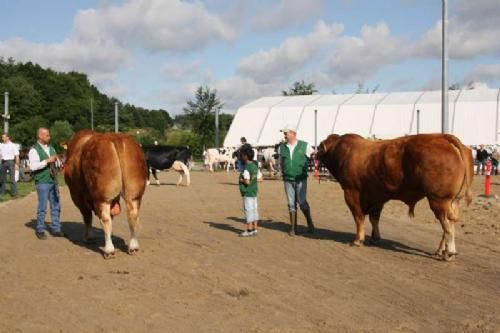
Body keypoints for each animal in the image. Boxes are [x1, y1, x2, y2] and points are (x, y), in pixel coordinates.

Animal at [318, 132, 474, 260]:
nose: (316, 154)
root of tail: (444, 137)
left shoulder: (351, 192)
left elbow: (359, 218)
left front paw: (358, 240)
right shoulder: (377, 197)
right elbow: (374, 218)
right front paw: (375, 238)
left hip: (439, 200)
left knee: (447, 224)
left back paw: (449, 252)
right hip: (453, 201)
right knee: (450, 223)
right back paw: (440, 250)